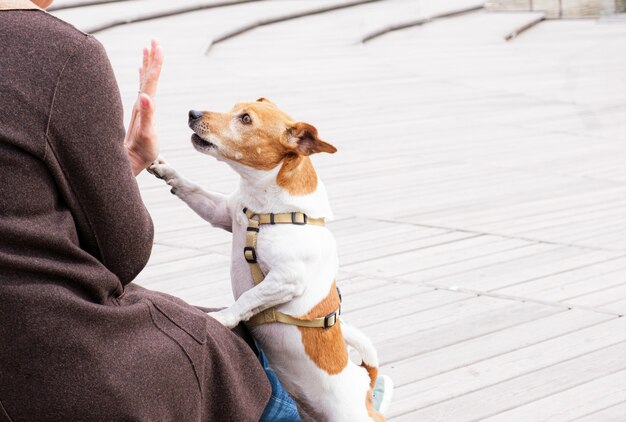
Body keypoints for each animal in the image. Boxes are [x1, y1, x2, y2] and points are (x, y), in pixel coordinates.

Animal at [149, 99, 386, 422]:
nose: (192, 113)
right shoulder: (221, 212)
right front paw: (167, 171)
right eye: (233, 108)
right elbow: (192, 189)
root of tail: (365, 383)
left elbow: (248, 298)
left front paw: (222, 318)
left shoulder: (286, 279)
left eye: (246, 119)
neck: (265, 211)